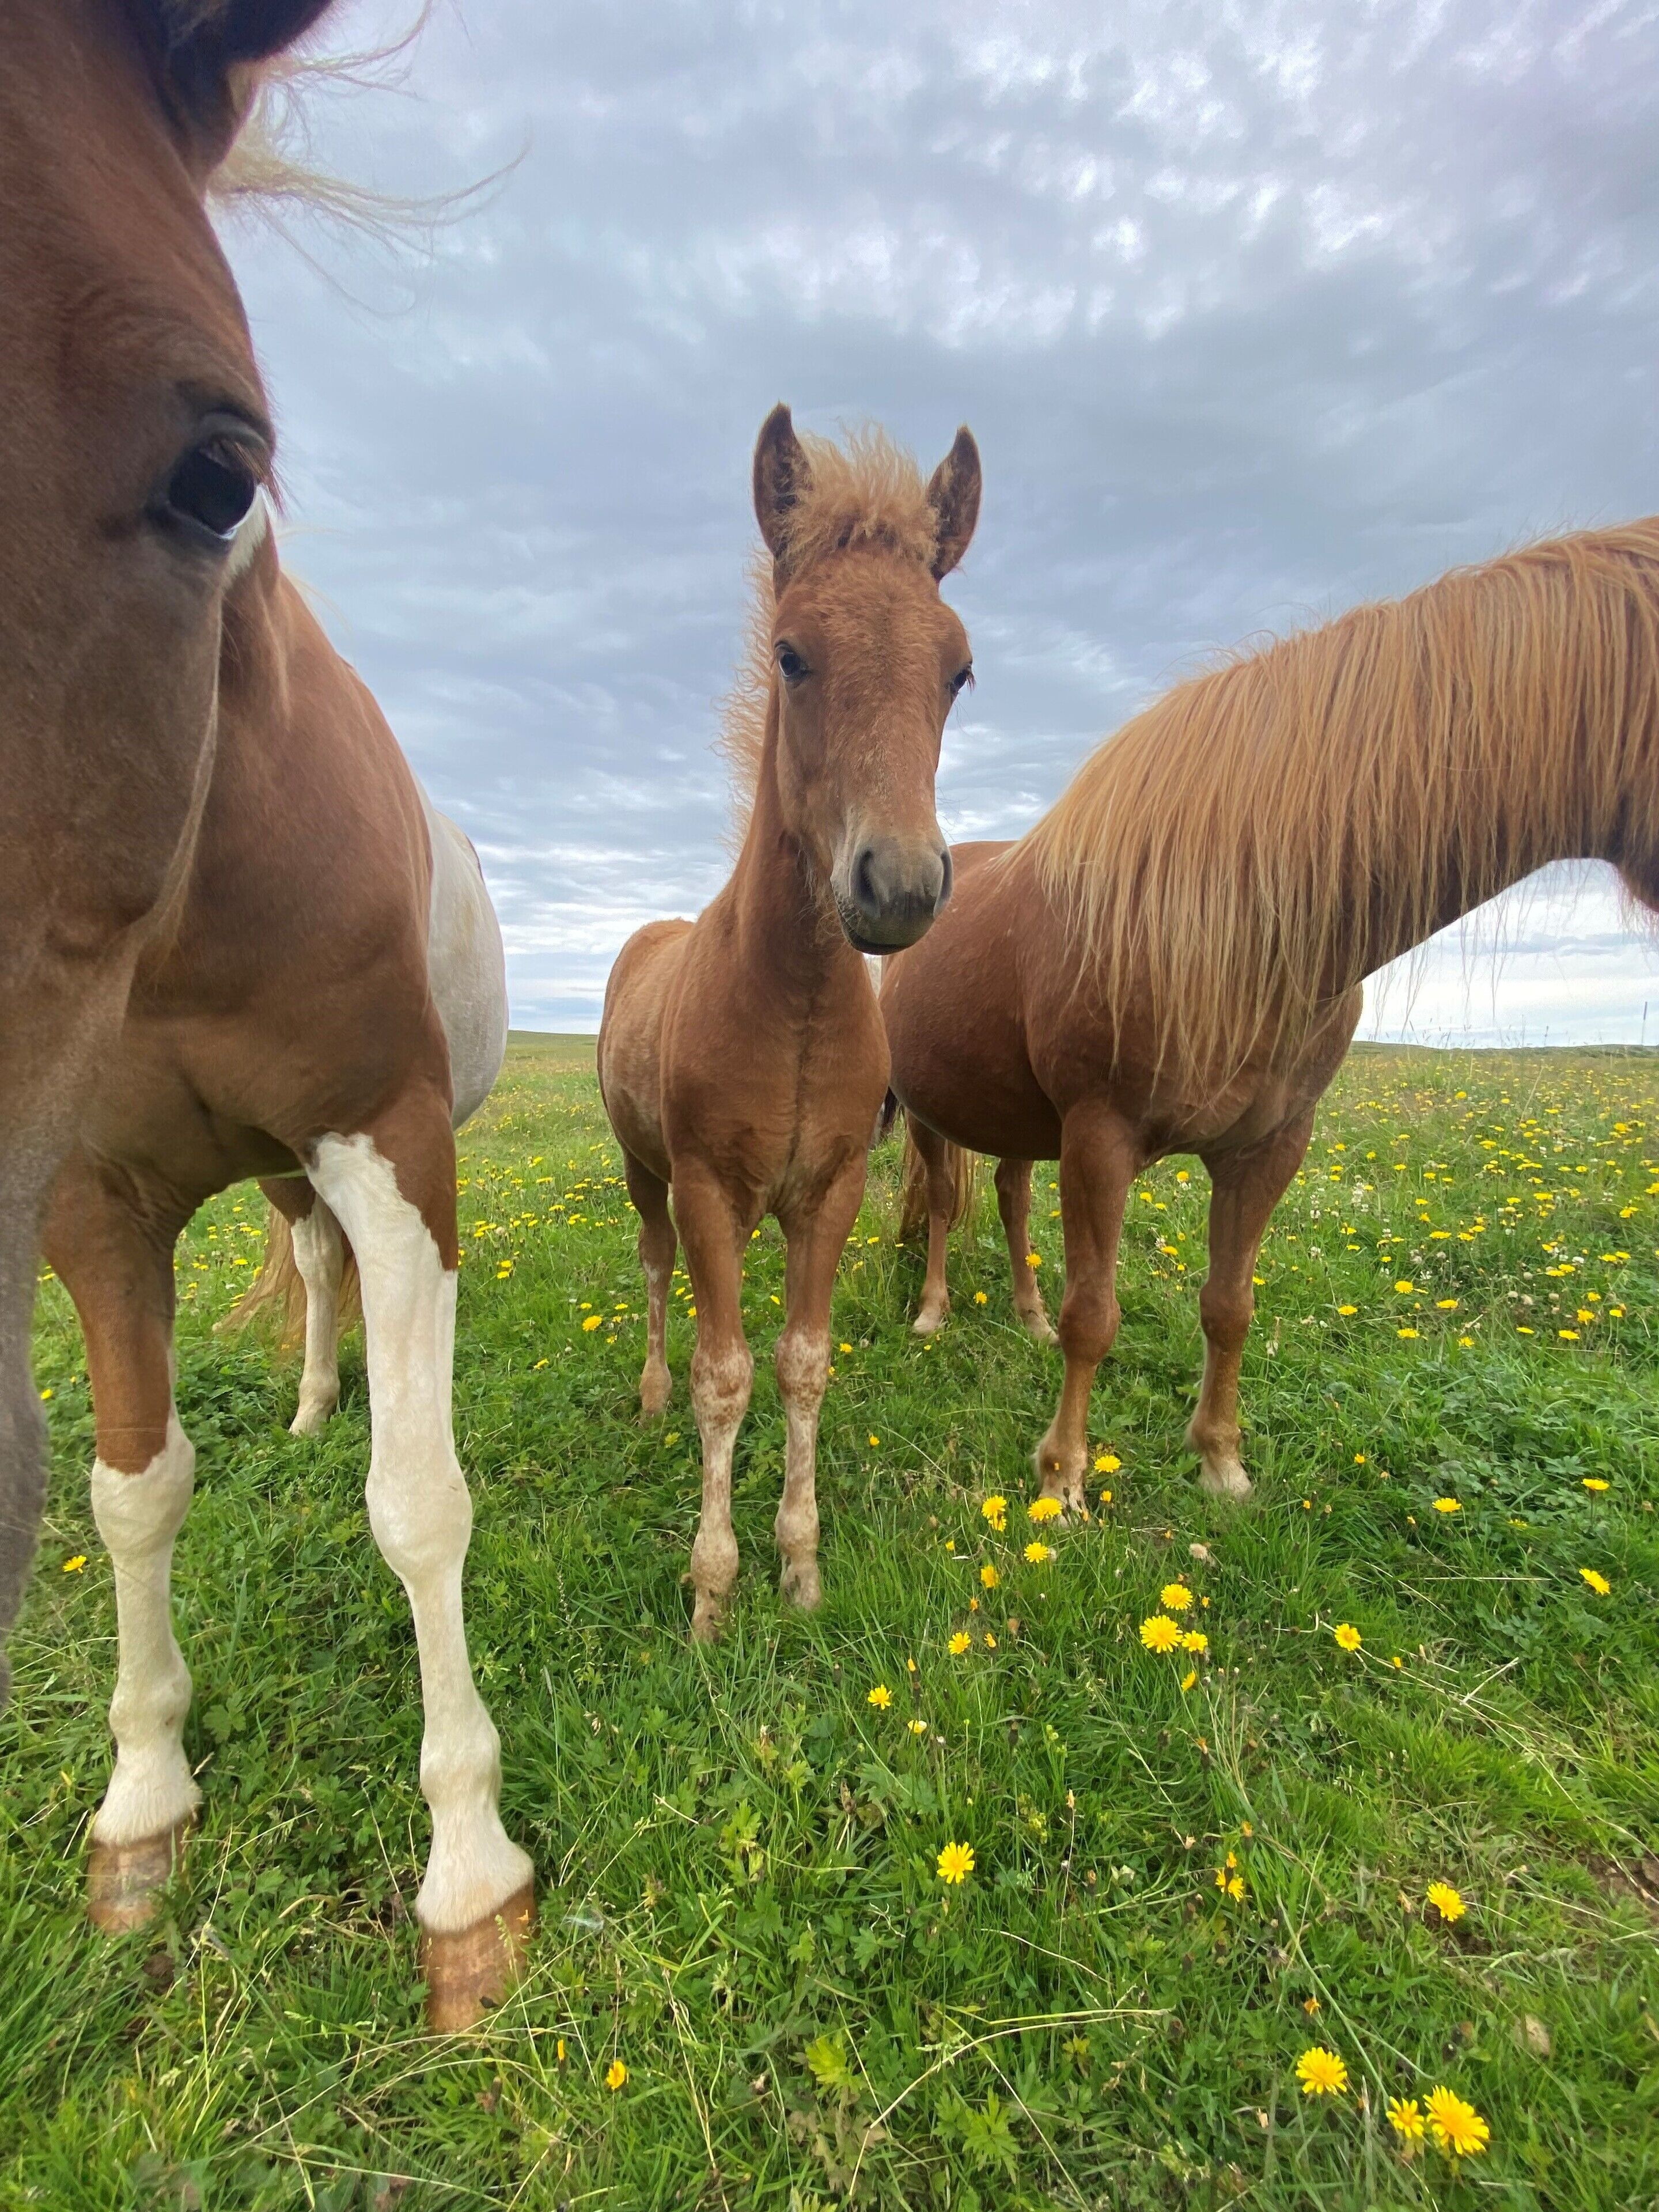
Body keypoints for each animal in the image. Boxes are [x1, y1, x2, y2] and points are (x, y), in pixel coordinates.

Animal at [4, 0, 534, 2029]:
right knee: (301, 1281)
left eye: (221, 470)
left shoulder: (390, 1143)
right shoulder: (90, 1202)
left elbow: (423, 1501)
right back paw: (310, 1399)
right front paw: (143, 1795)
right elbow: (135, 1489)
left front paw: (469, 1870)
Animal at [599, 405, 980, 1639]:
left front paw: (800, 1564)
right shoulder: (711, 1191)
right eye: (790, 654)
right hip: (645, 1171)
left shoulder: (830, 1194)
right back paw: (648, 1393)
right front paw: (713, 1591)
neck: (796, 1004)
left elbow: (803, 1363)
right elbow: (724, 1374)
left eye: (959, 670)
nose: (899, 884)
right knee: (656, 1273)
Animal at [880, 522, 1659, 1507]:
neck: (1233, 916)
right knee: (946, 1203)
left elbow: (1230, 1307)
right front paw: (1062, 1480)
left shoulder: (1270, 1146)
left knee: (1013, 1201)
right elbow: (1095, 1315)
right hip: (932, 1110)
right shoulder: (1100, 1139)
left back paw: (1024, 1317)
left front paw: (1220, 1461)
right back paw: (933, 1313)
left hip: (1017, 1118)